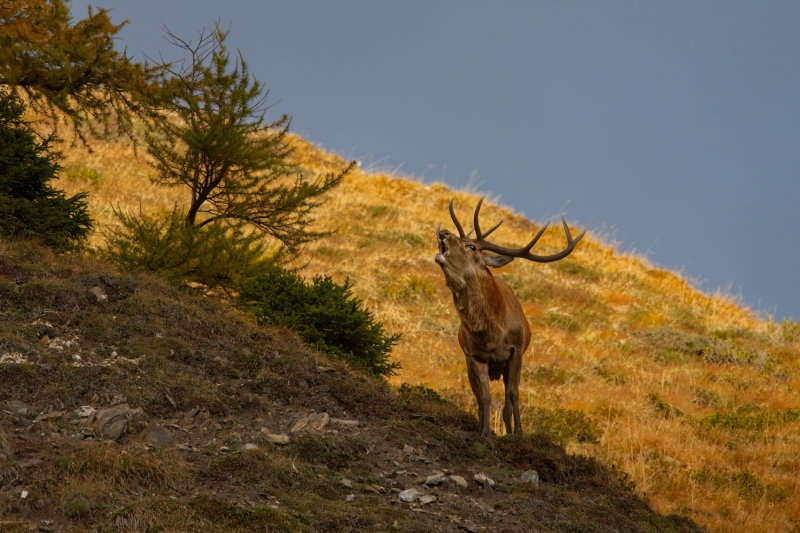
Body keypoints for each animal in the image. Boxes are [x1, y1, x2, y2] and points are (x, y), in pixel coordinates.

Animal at [435, 198, 585, 437]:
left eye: (472, 246)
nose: (444, 232)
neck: (493, 333)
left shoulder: (516, 349)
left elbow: (513, 394)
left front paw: (518, 433)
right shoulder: (473, 355)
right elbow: (484, 397)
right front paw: (485, 433)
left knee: (508, 399)